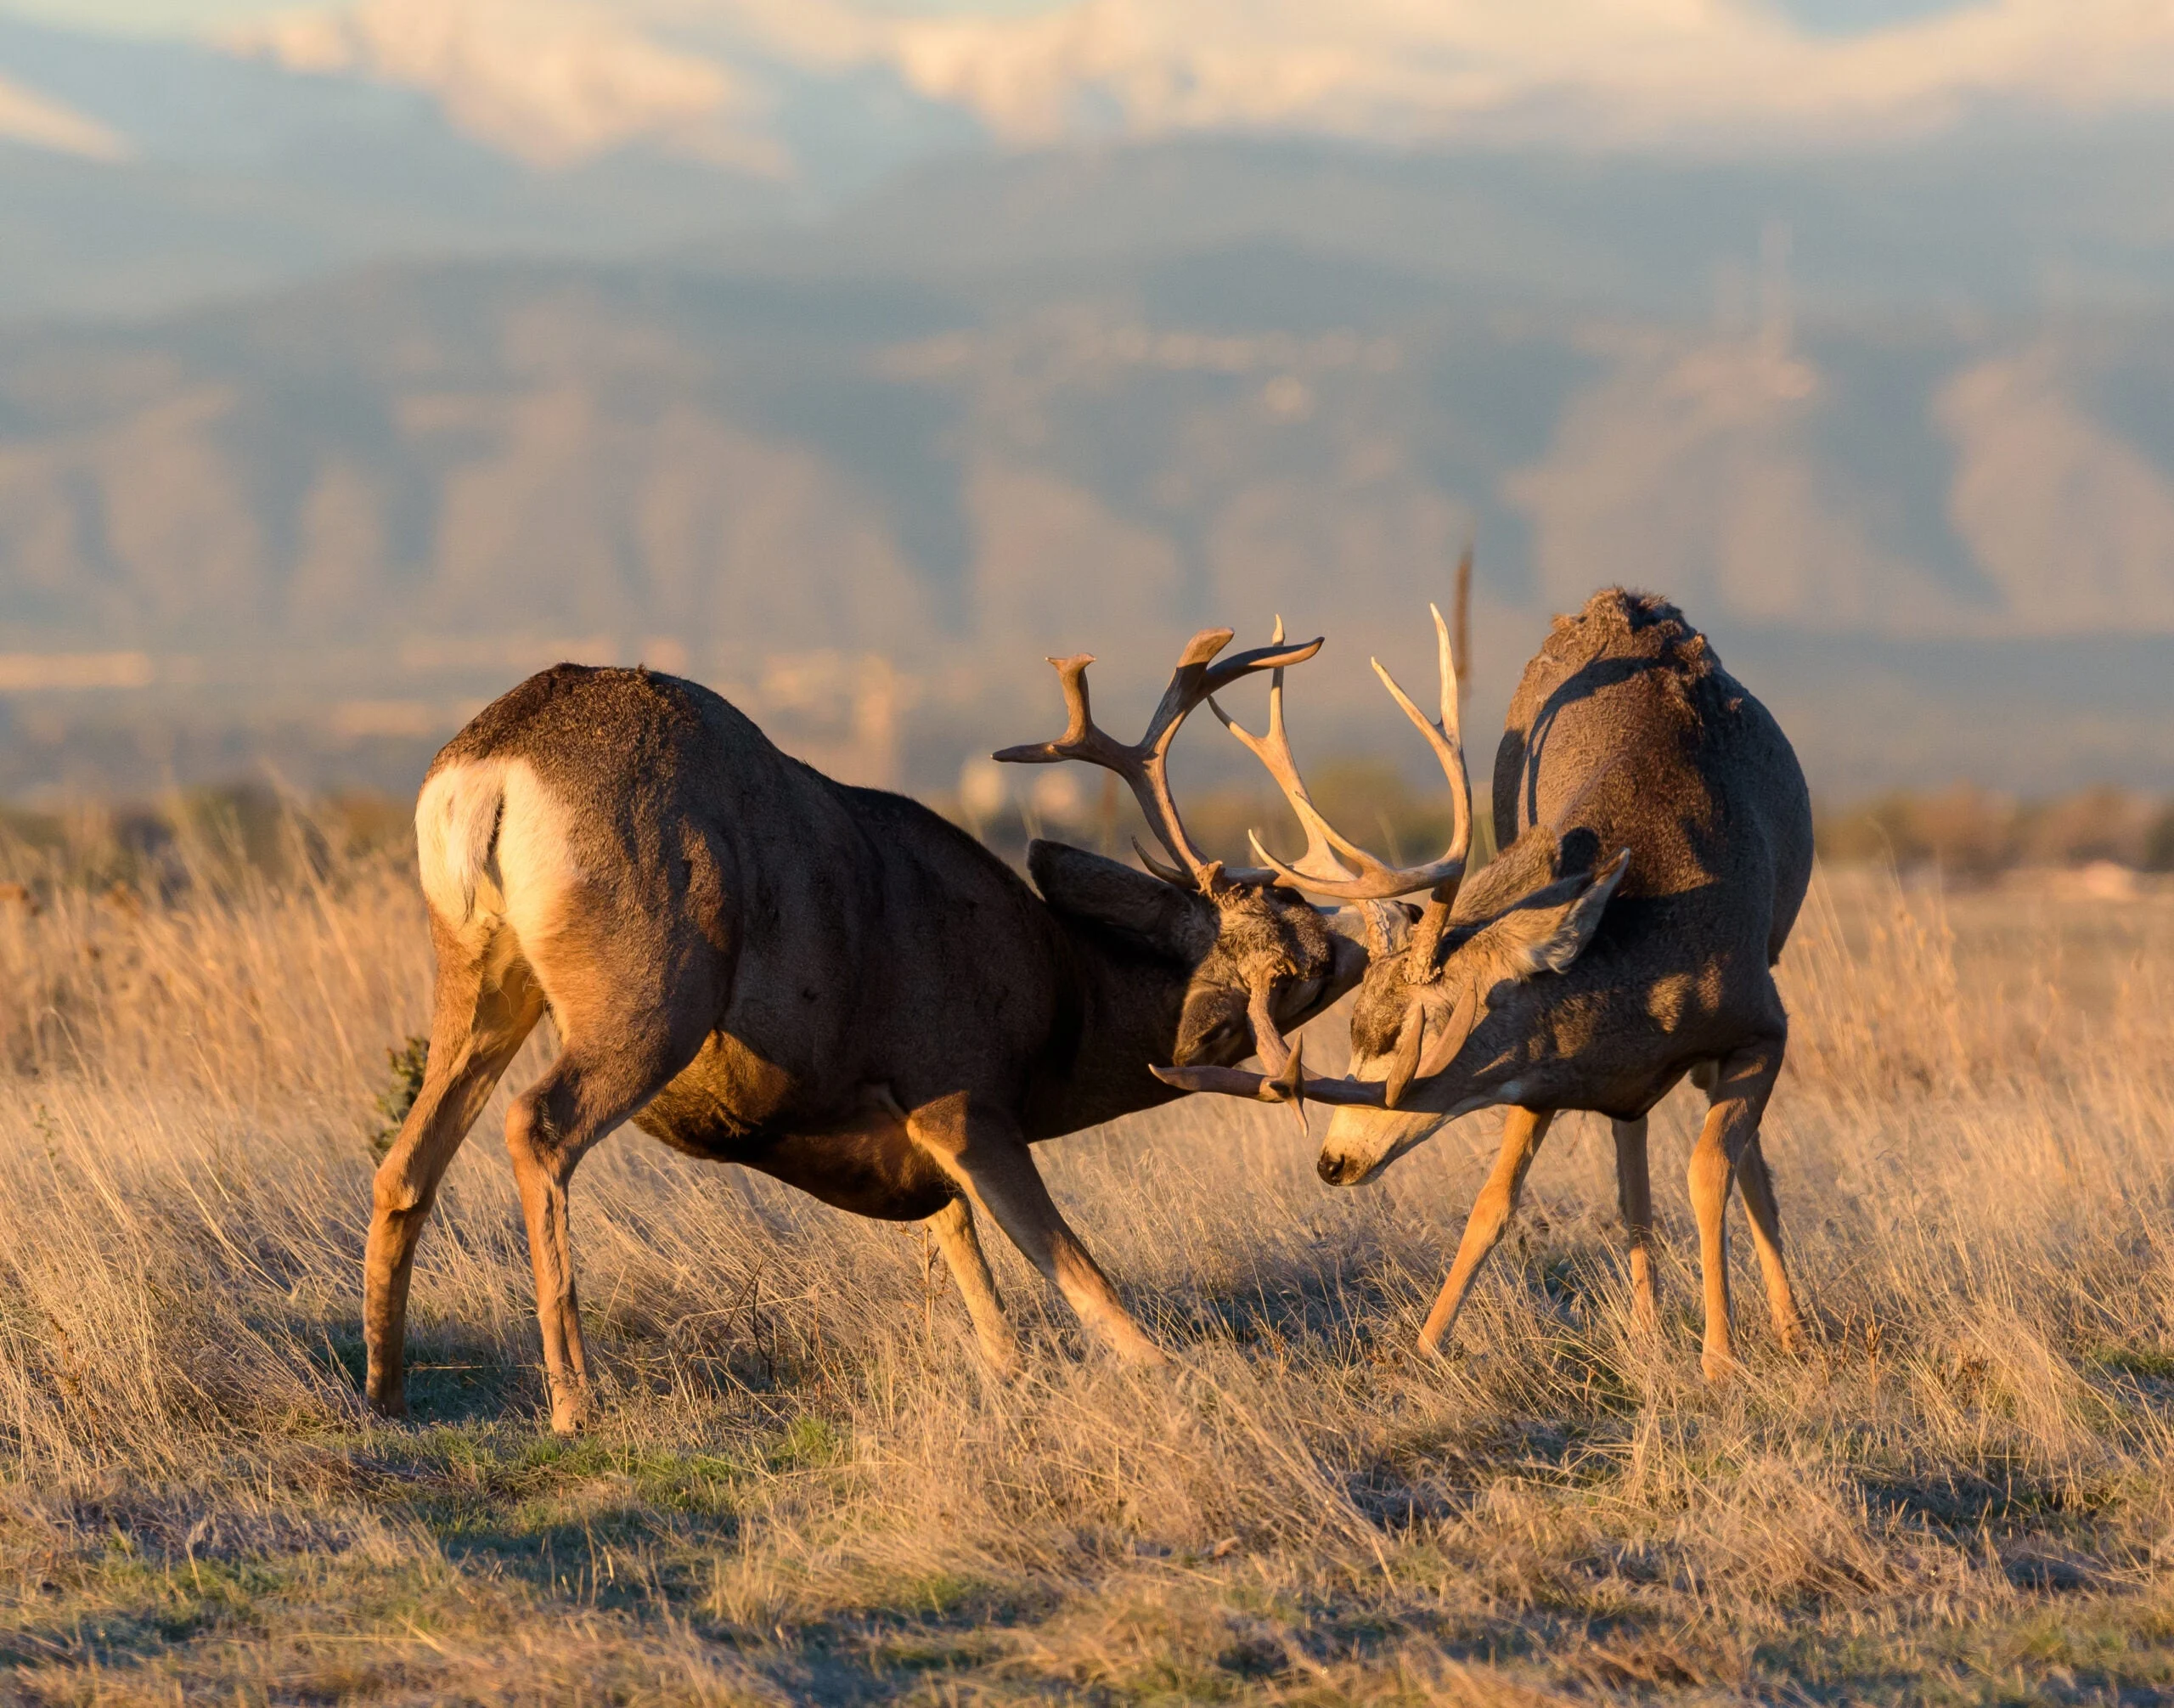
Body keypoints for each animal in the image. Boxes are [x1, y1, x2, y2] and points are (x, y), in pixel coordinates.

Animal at [365, 625, 1365, 1425]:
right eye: (1289, 950)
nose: (1352, 944)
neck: (1062, 1008)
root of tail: (491, 764)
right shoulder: (960, 1088)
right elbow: (1075, 1270)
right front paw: (1175, 1372)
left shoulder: (910, 1133)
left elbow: (962, 1248)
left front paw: (1010, 1372)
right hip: (651, 985)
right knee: (536, 1126)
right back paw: (574, 1400)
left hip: (480, 968)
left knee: (407, 1160)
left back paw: (386, 1389)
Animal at [1165, 590, 1808, 1373]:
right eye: (1354, 1025)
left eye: (1425, 1027)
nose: (1332, 1161)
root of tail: (1624, 600)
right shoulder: (1543, 1071)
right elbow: (1493, 1203)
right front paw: (1424, 1344)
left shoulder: (1764, 1024)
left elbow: (1714, 1168)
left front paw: (1721, 1357)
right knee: (1632, 1147)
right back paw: (1648, 1326)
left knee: (1736, 1163)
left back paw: (1788, 1327)